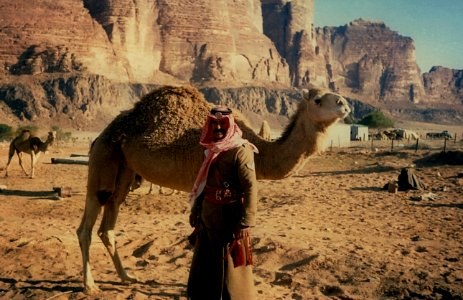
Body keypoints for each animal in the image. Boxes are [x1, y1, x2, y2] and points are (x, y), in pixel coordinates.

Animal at [77, 84, 352, 292]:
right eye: (318, 99)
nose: (345, 104)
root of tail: (101, 135)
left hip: (124, 170)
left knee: (108, 221)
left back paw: (126, 277)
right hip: (103, 159)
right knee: (87, 224)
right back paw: (90, 286)